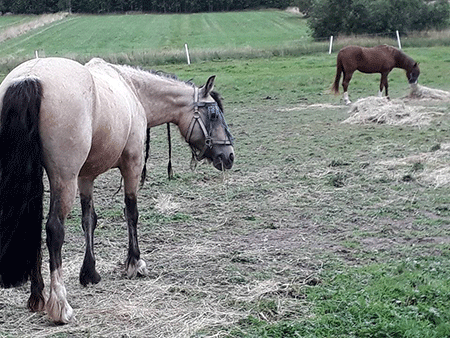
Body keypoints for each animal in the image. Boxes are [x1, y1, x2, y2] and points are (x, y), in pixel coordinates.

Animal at [0, 56, 234, 324]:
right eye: (214, 114)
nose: (229, 155)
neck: (133, 89)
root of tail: (30, 77)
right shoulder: (132, 163)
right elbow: (131, 213)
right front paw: (135, 263)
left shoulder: (86, 176)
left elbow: (89, 220)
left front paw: (89, 272)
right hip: (64, 179)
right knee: (54, 230)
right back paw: (59, 304)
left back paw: (37, 297)